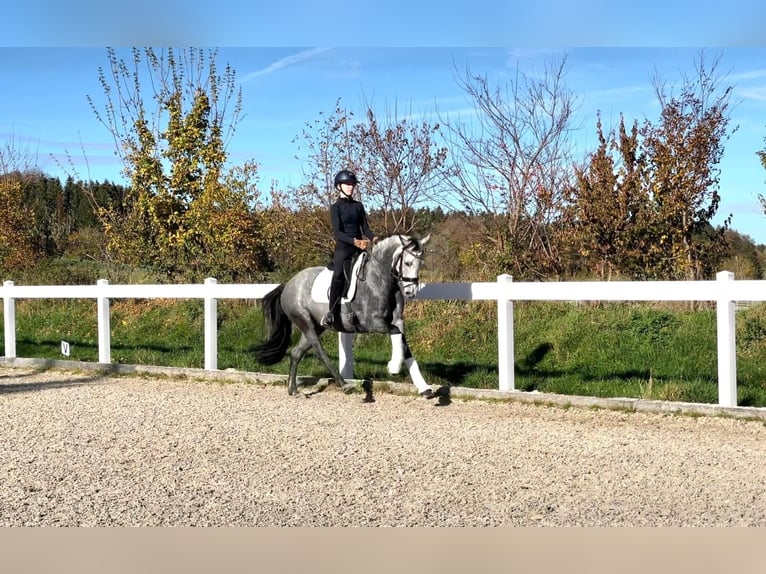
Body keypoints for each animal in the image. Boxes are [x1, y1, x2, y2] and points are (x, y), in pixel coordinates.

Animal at [255, 234, 436, 400]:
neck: (378, 279)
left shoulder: (397, 320)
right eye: (408, 263)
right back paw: (344, 384)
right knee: (319, 351)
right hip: (304, 321)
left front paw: (424, 388)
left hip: (316, 326)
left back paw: (293, 390)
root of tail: (288, 284)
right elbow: (396, 333)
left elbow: (404, 344)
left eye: (421, 264)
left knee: (295, 353)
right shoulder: (372, 323)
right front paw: (394, 367)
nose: (410, 292)